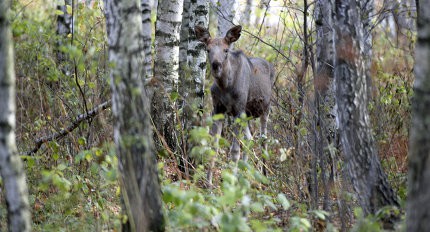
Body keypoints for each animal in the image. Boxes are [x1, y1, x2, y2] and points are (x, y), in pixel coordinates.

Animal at [195, 25, 276, 185]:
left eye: (226, 50)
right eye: (208, 49)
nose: (216, 65)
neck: (226, 86)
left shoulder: (238, 109)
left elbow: (234, 151)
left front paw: (230, 182)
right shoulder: (218, 109)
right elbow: (214, 146)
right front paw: (208, 183)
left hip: (265, 109)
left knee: (263, 139)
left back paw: (264, 176)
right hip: (246, 114)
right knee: (249, 138)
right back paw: (243, 173)